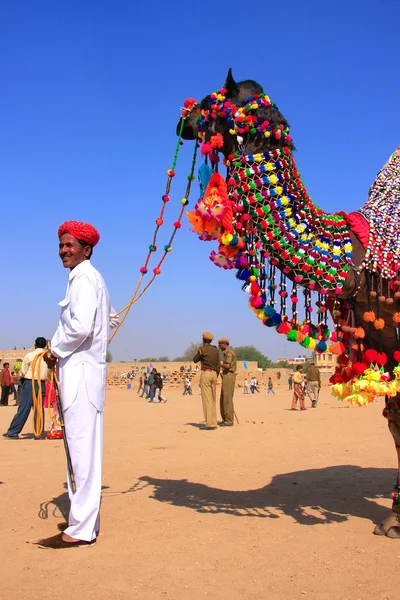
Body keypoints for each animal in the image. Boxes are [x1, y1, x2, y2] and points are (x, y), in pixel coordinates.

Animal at [178, 68, 400, 536]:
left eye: (209, 100)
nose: (181, 119)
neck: (358, 256)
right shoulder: (383, 342)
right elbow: (397, 421)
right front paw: (393, 519)